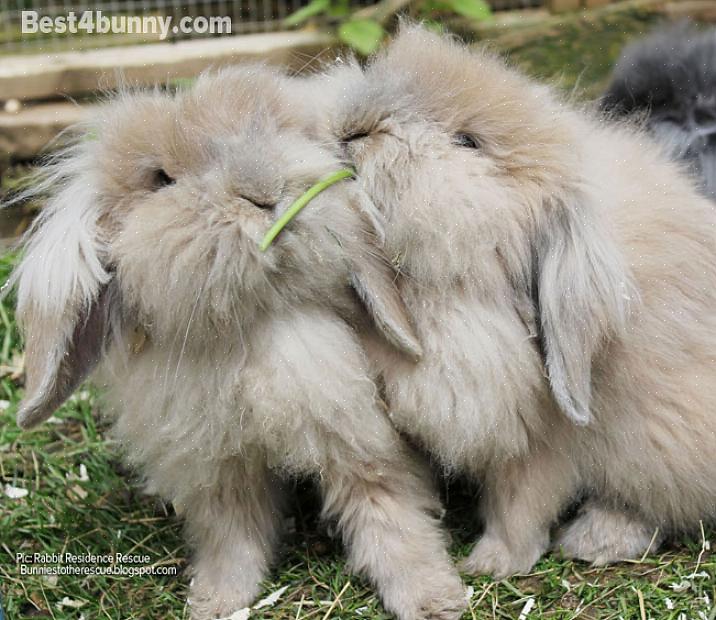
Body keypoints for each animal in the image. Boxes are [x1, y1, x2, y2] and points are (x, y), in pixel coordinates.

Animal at [8, 64, 468, 620]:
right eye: (161, 179)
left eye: (274, 132)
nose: (263, 191)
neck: (251, 328)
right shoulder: (217, 472)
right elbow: (233, 536)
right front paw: (215, 600)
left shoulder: (361, 442)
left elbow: (389, 510)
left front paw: (434, 598)